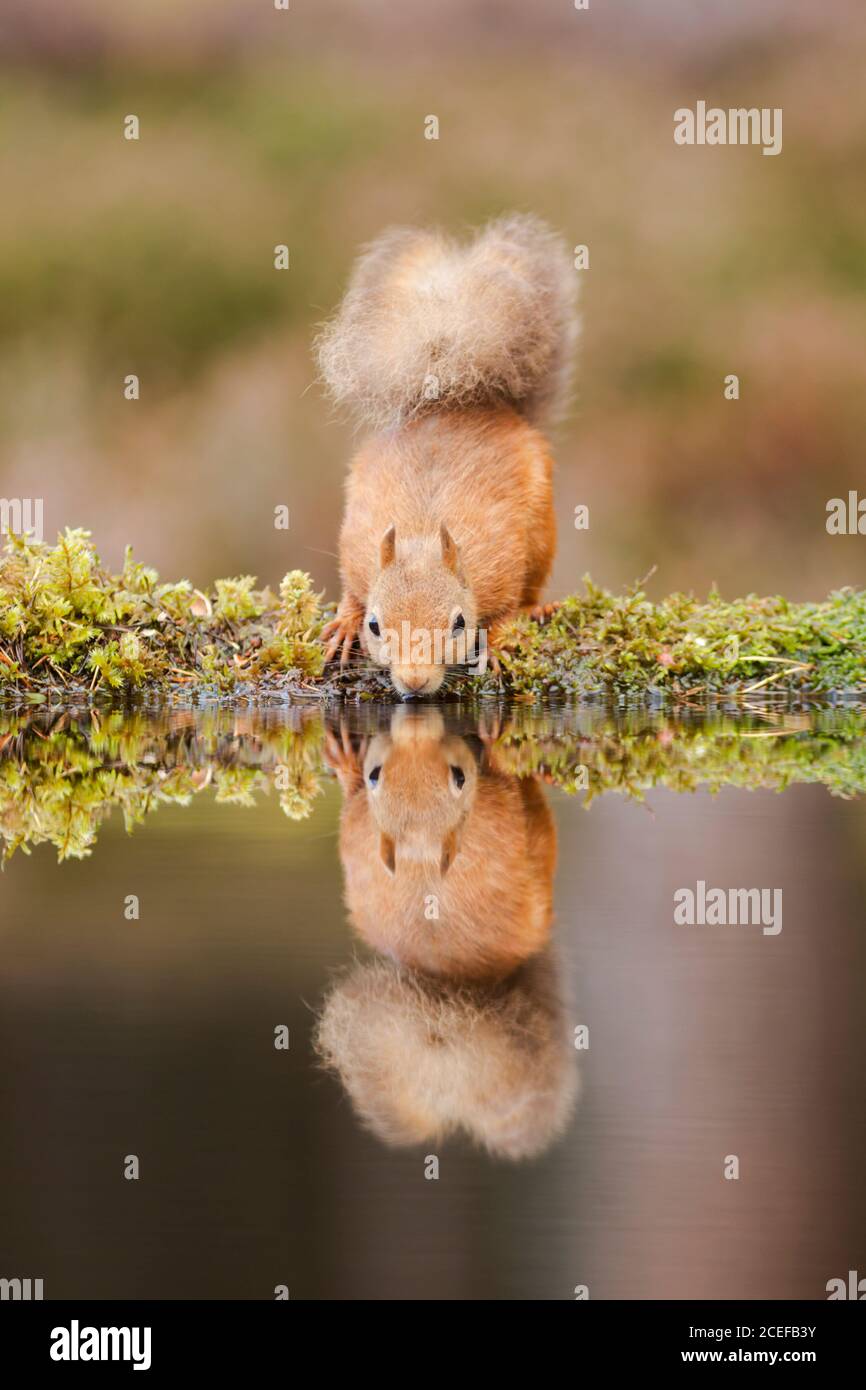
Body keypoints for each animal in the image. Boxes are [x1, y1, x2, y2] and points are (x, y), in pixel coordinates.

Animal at [316, 212, 575, 700]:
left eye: (458, 624)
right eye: (375, 626)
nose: (415, 682)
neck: (421, 533)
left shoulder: (501, 563)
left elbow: (505, 608)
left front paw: (498, 641)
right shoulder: (357, 548)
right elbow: (351, 591)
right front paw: (343, 623)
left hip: (542, 534)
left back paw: (538, 608)